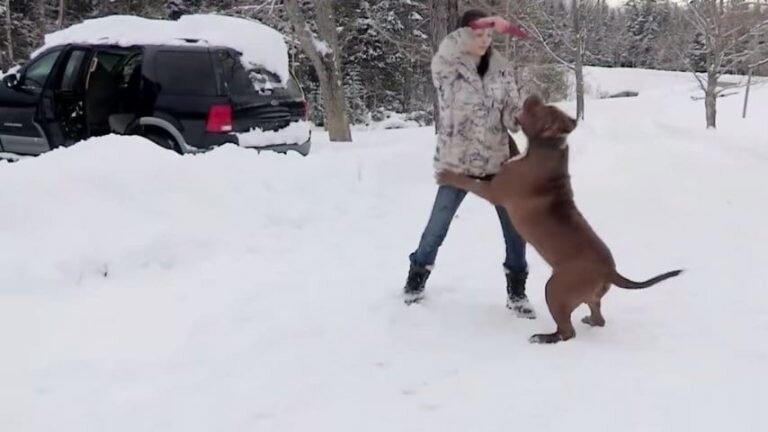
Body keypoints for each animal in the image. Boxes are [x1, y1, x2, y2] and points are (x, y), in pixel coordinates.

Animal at [438, 95, 684, 344]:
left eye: (542, 109)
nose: (533, 96)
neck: (548, 146)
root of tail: (610, 271)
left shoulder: (493, 192)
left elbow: (470, 182)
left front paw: (447, 175)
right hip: (588, 296)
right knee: (598, 316)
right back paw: (589, 320)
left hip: (555, 289)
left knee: (567, 332)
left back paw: (543, 337)